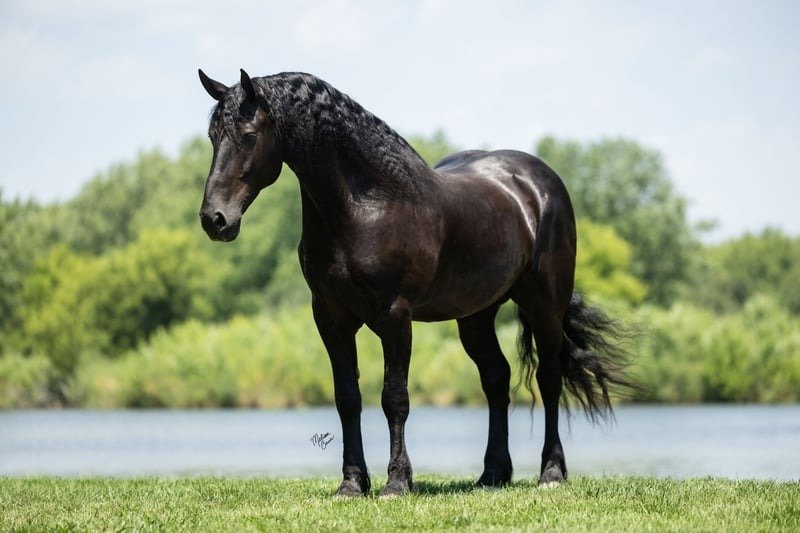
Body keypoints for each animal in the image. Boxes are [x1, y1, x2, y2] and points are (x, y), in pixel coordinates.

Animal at [197, 69, 633, 496]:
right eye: (213, 136)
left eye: (248, 135)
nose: (214, 219)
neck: (368, 205)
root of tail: (539, 183)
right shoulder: (331, 318)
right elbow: (347, 397)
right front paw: (352, 483)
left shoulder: (395, 317)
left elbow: (395, 397)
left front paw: (396, 482)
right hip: (476, 316)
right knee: (496, 378)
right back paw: (492, 474)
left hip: (544, 304)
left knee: (548, 378)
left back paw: (551, 473)